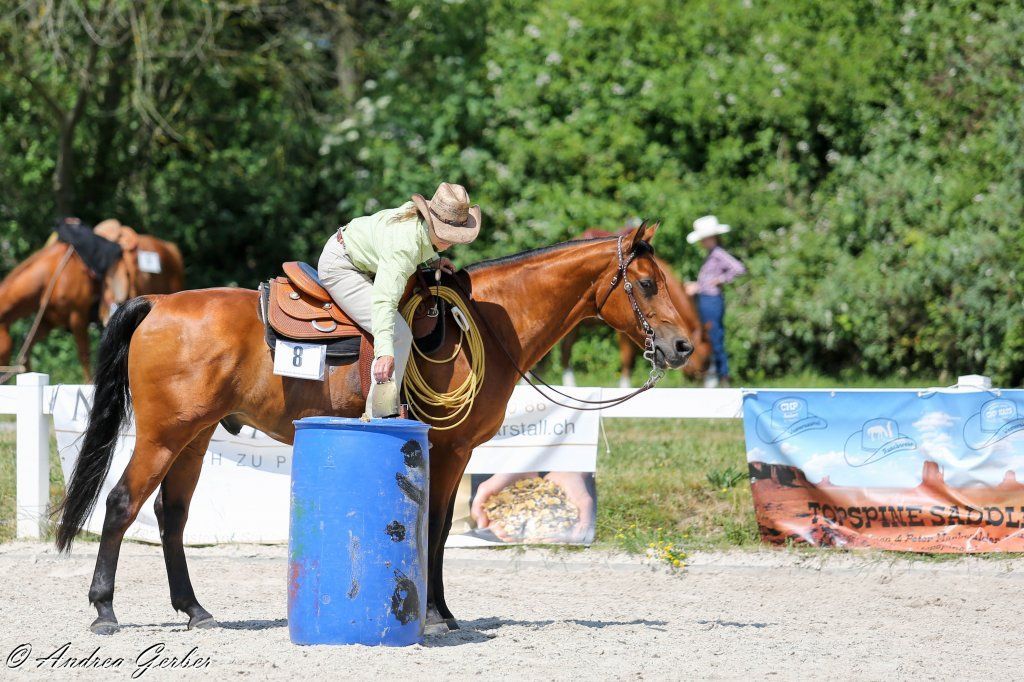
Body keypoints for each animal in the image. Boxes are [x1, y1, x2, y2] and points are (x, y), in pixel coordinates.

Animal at [0, 234, 184, 381]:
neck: (53, 275)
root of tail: (170, 248)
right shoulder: (48, 322)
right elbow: (26, 350)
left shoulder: (78, 318)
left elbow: (84, 355)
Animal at [54, 222, 694, 635]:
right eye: (647, 283)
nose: (682, 346)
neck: (490, 324)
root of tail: (158, 303)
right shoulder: (451, 449)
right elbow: (435, 529)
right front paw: (437, 614)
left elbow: (438, 530)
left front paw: (441, 611)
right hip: (164, 435)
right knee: (121, 503)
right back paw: (104, 610)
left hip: (196, 435)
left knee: (171, 515)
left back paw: (194, 610)